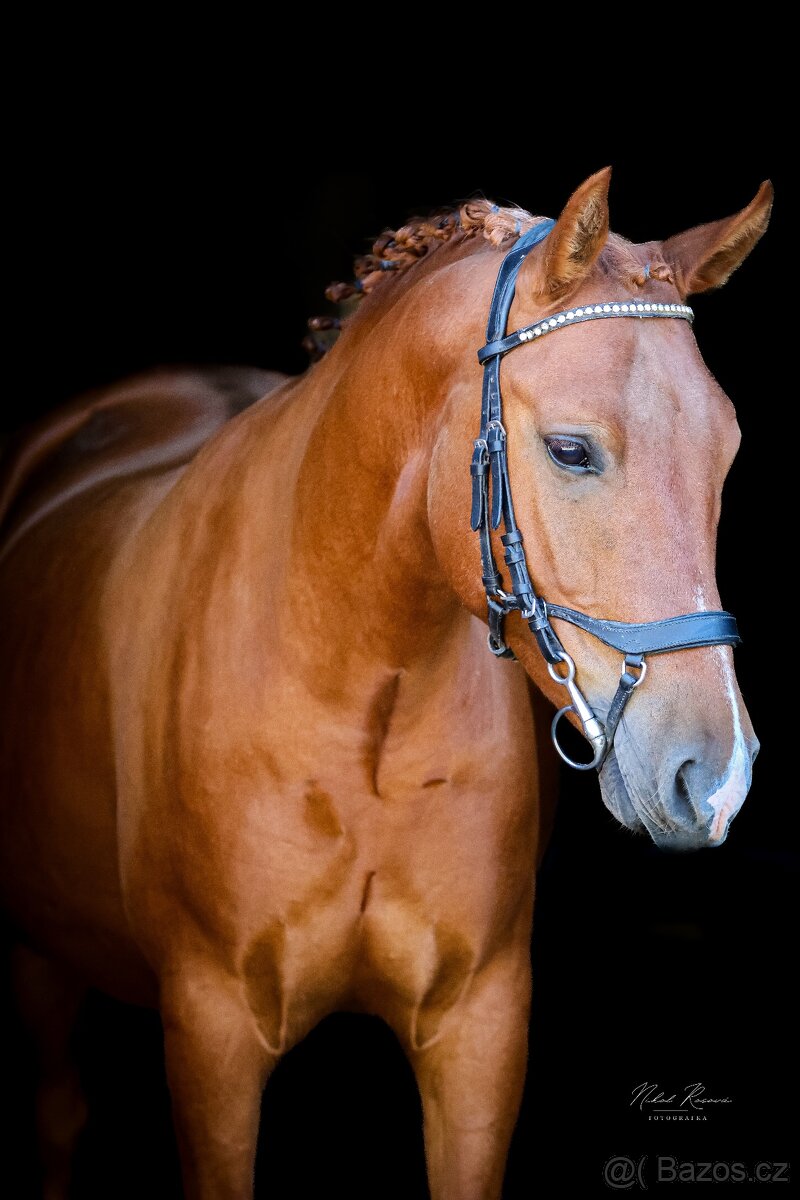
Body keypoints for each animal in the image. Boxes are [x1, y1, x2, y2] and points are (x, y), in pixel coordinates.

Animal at [0, 168, 772, 1199]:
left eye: (727, 451)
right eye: (571, 450)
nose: (714, 779)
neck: (364, 695)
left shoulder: (480, 1029)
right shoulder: (210, 1035)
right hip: (41, 956)